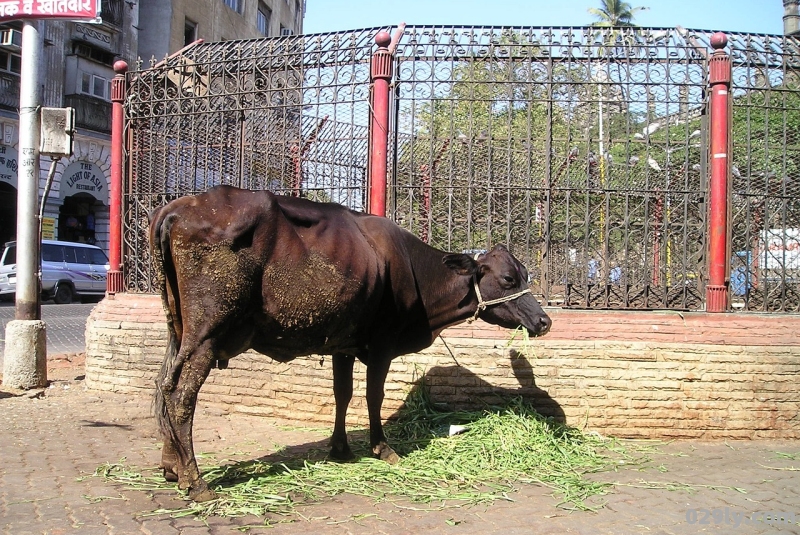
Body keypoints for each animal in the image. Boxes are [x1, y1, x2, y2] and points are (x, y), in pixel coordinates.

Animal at [148, 185, 552, 502]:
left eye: (524, 274)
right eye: (508, 277)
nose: (544, 321)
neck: (415, 274)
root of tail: (178, 207)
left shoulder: (342, 344)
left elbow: (342, 394)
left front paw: (340, 449)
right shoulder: (382, 345)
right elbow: (373, 396)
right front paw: (383, 448)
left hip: (177, 328)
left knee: (162, 384)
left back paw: (171, 467)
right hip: (206, 332)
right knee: (181, 394)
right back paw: (195, 482)